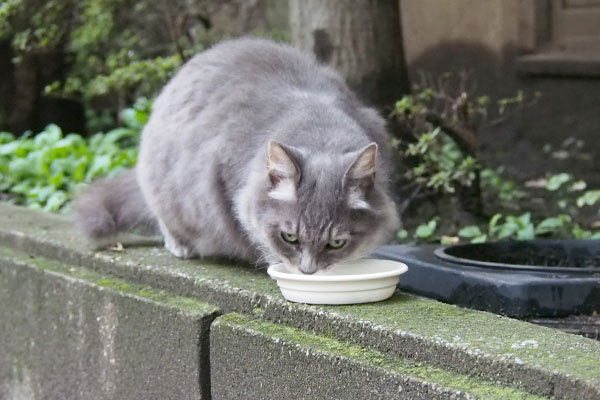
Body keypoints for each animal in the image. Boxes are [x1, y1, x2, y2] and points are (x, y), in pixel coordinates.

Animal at [75, 37, 400, 274]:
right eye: (290, 237)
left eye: (336, 243)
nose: (308, 272)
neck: (319, 129)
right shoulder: (225, 182)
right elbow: (256, 235)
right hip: (162, 183)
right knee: (163, 215)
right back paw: (180, 245)